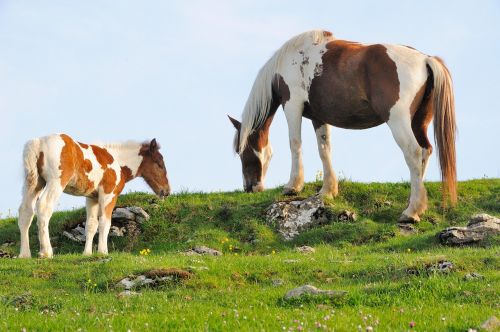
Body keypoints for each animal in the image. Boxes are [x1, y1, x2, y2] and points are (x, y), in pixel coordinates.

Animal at [17, 134, 171, 258]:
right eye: (159, 163)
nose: (166, 191)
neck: (117, 161)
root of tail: (38, 143)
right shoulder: (108, 194)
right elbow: (105, 222)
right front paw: (103, 252)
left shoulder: (92, 198)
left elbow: (91, 225)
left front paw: (87, 253)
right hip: (55, 182)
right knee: (44, 208)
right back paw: (46, 252)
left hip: (33, 184)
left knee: (25, 212)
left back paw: (24, 254)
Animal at [230, 29, 458, 223]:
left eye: (242, 152)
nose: (250, 188)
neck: (287, 62)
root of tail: (425, 59)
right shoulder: (318, 117)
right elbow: (324, 149)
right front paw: (327, 190)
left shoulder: (292, 105)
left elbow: (295, 144)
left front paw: (293, 186)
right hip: (418, 122)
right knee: (425, 151)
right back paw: (417, 204)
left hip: (398, 121)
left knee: (413, 153)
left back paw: (411, 212)